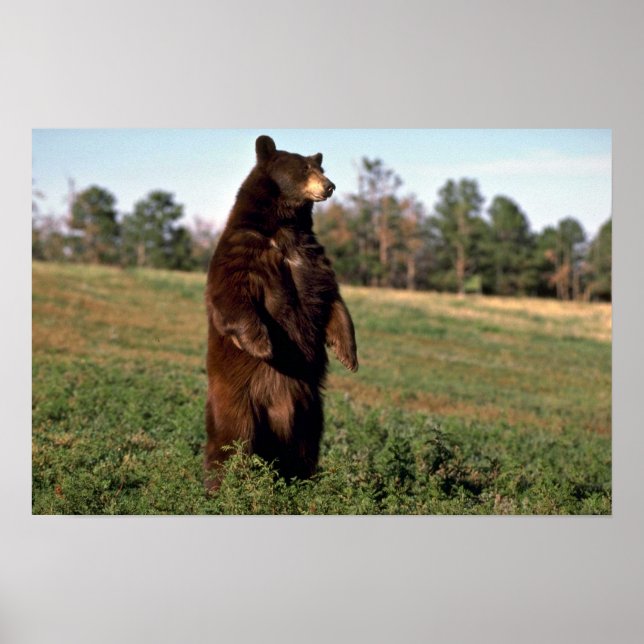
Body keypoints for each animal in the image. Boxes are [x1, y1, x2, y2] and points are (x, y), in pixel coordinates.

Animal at [204, 135, 358, 491]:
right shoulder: (245, 249)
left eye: (320, 167)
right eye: (304, 169)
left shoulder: (313, 258)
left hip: (310, 409)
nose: (329, 186)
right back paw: (223, 484)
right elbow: (231, 293)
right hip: (240, 399)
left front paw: (349, 355)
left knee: (304, 446)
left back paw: (304, 481)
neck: (285, 227)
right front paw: (262, 344)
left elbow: (332, 299)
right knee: (233, 439)